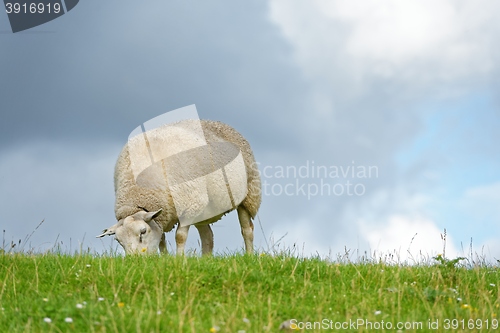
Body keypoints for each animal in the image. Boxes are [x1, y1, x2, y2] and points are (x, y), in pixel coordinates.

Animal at [95, 118, 264, 254]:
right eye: (119, 241)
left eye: (143, 232)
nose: (136, 261)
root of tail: (219, 123)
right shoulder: (162, 215)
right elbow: (161, 240)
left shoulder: (188, 206)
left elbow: (180, 237)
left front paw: (179, 260)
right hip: (204, 208)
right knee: (208, 236)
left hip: (248, 195)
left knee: (247, 230)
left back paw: (249, 256)